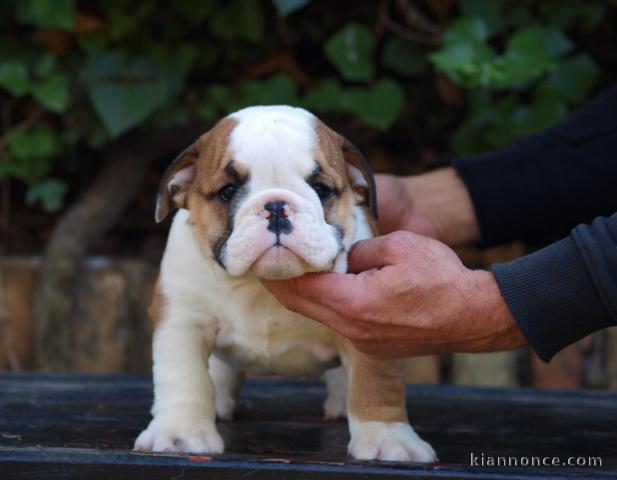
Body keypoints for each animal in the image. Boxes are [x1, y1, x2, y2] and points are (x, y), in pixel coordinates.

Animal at [134, 106, 434, 462]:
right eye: (227, 192)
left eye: (321, 189)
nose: (276, 206)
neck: (259, 285)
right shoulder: (181, 319)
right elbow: (183, 376)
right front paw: (180, 433)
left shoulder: (372, 325)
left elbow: (377, 381)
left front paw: (387, 438)